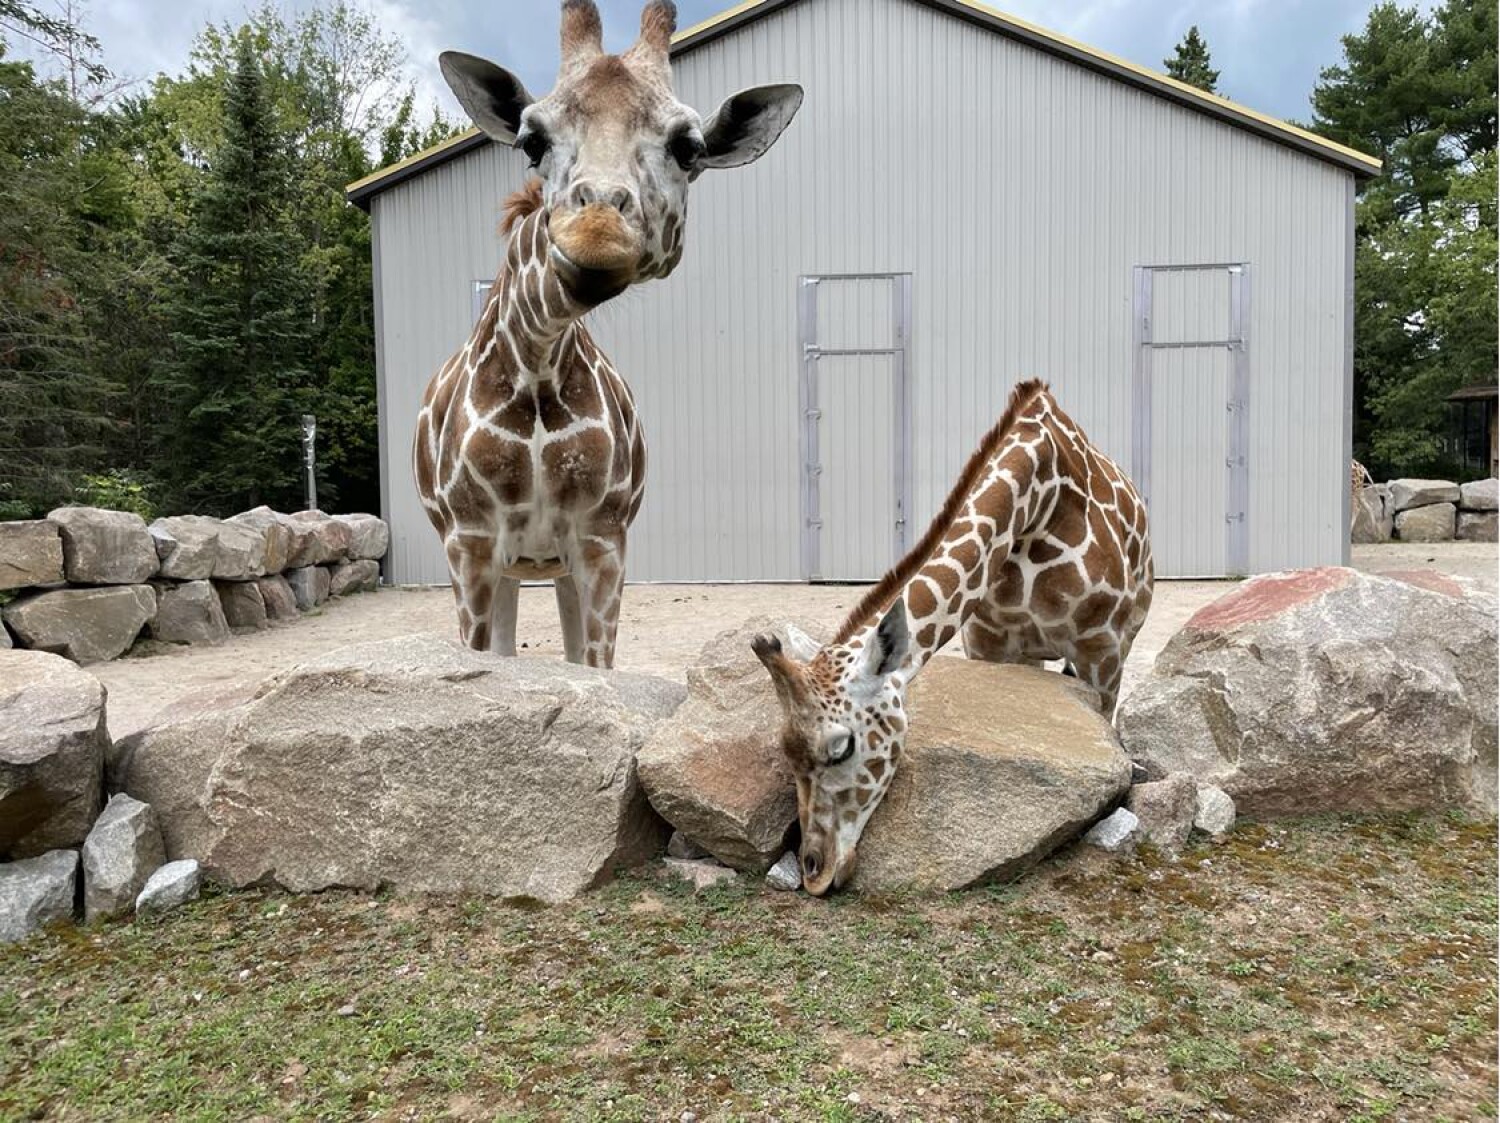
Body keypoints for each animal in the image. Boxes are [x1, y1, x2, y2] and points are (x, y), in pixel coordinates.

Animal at [415, 0, 802, 667]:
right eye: (532, 139)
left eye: (688, 148)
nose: (595, 234)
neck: (538, 362)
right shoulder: (471, 541)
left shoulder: (602, 538)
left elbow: (592, 667)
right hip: (509, 562)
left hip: (549, 562)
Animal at [752, 380, 1154, 895]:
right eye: (784, 749)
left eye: (842, 748)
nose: (814, 872)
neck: (1036, 509)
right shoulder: (989, 641)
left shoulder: (1101, 648)